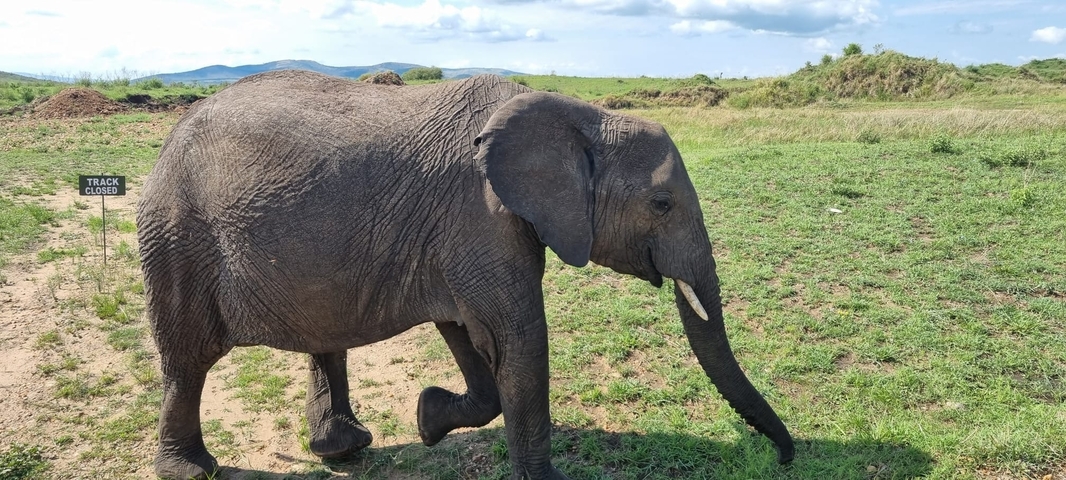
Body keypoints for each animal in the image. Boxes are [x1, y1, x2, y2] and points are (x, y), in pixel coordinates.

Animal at [137, 69, 794, 479]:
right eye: (661, 204)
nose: (785, 459)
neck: (581, 117)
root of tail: (169, 137)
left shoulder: (465, 235)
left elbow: (473, 339)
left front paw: (428, 420)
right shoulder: (480, 217)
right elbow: (518, 338)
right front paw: (540, 478)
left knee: (324, 343)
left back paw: (344, 450)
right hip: (178, 235)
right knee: (188, 360)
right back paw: (191, 470)